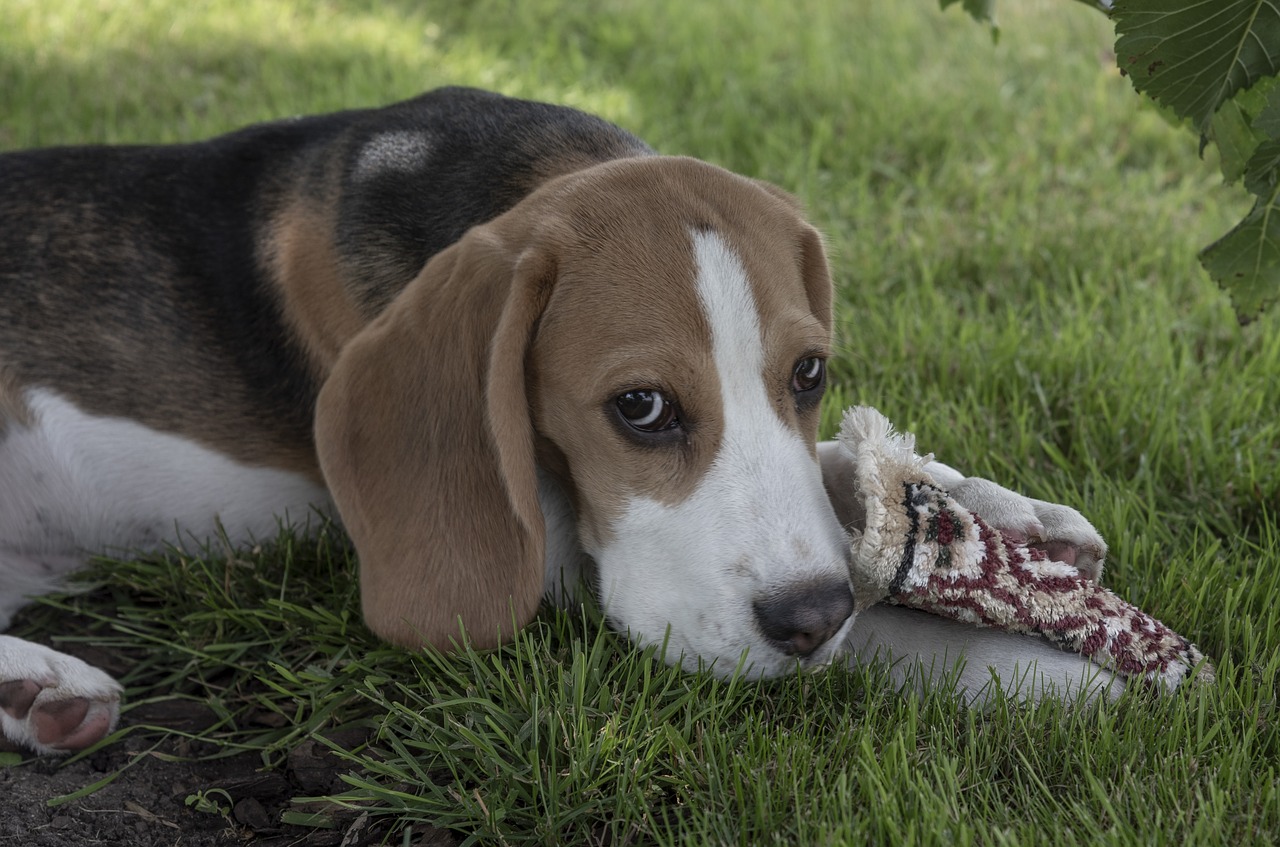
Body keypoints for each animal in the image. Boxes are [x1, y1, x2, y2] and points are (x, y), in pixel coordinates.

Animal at [0, 87, 1111, 757]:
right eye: (639, 406)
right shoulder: (561, 572)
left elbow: (840, 470)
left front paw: (996, 515)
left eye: (809, 372)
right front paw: (1052, 671)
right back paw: (43, 678)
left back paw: (38, 694)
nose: (808, 617)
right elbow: (880, 629)